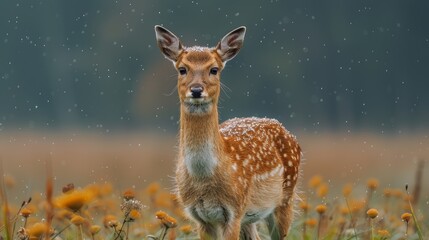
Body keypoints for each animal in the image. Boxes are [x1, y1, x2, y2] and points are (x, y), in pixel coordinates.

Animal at [155, 25, 300, 239]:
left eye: (214, 69)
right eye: (182, 69)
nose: (196, 90)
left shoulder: (235, 210)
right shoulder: (200, 216)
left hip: (285, 197)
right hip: (252, 217)